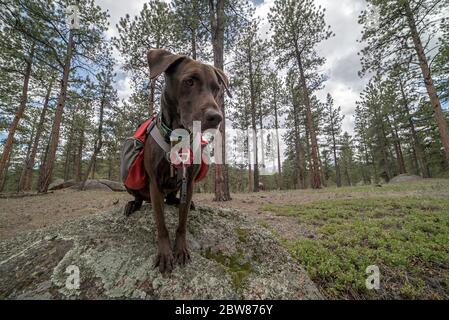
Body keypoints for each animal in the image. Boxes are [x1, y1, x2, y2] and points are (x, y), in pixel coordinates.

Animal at [129, 49, 228, 272]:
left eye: (217, 89)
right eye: (189, 81)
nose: (216, 117)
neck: (177, 135)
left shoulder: (188, 183)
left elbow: (182, 223)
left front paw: (181, 249)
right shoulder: (155, 183)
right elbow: (161, 225)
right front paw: (165, 254)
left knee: (175, 199)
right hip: (130, 184)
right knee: (139, 197)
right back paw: (132, 204)